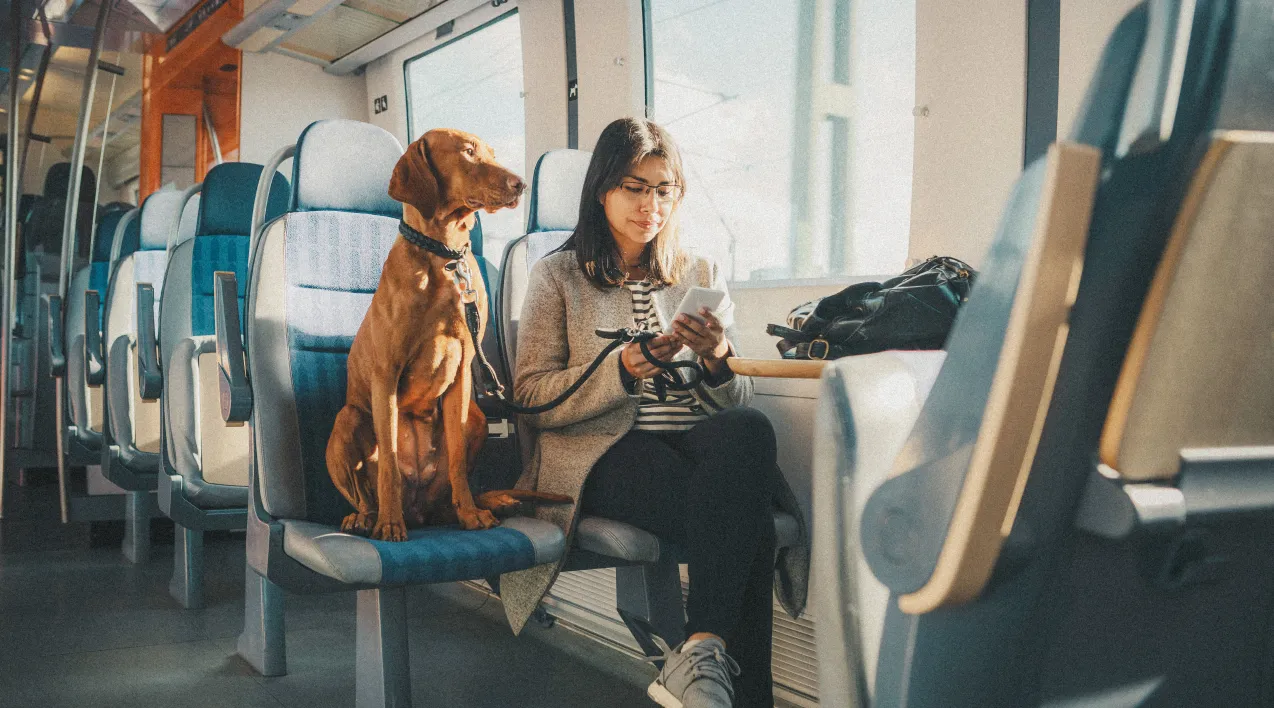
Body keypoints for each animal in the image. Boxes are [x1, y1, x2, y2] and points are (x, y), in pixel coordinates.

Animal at [328, 128, 568, 542]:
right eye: (468, 152)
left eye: (492, 153)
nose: (519, 184)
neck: (444, 256)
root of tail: (418, 510)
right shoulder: (386, 374)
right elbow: (389, 461)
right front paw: (388, 523)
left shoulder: (463, 373)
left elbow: (456, 460)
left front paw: (470, 515)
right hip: (347, 418)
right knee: (365, 492)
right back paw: (368, 517)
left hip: (476, 417)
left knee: (444, 493)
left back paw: (475, 507)